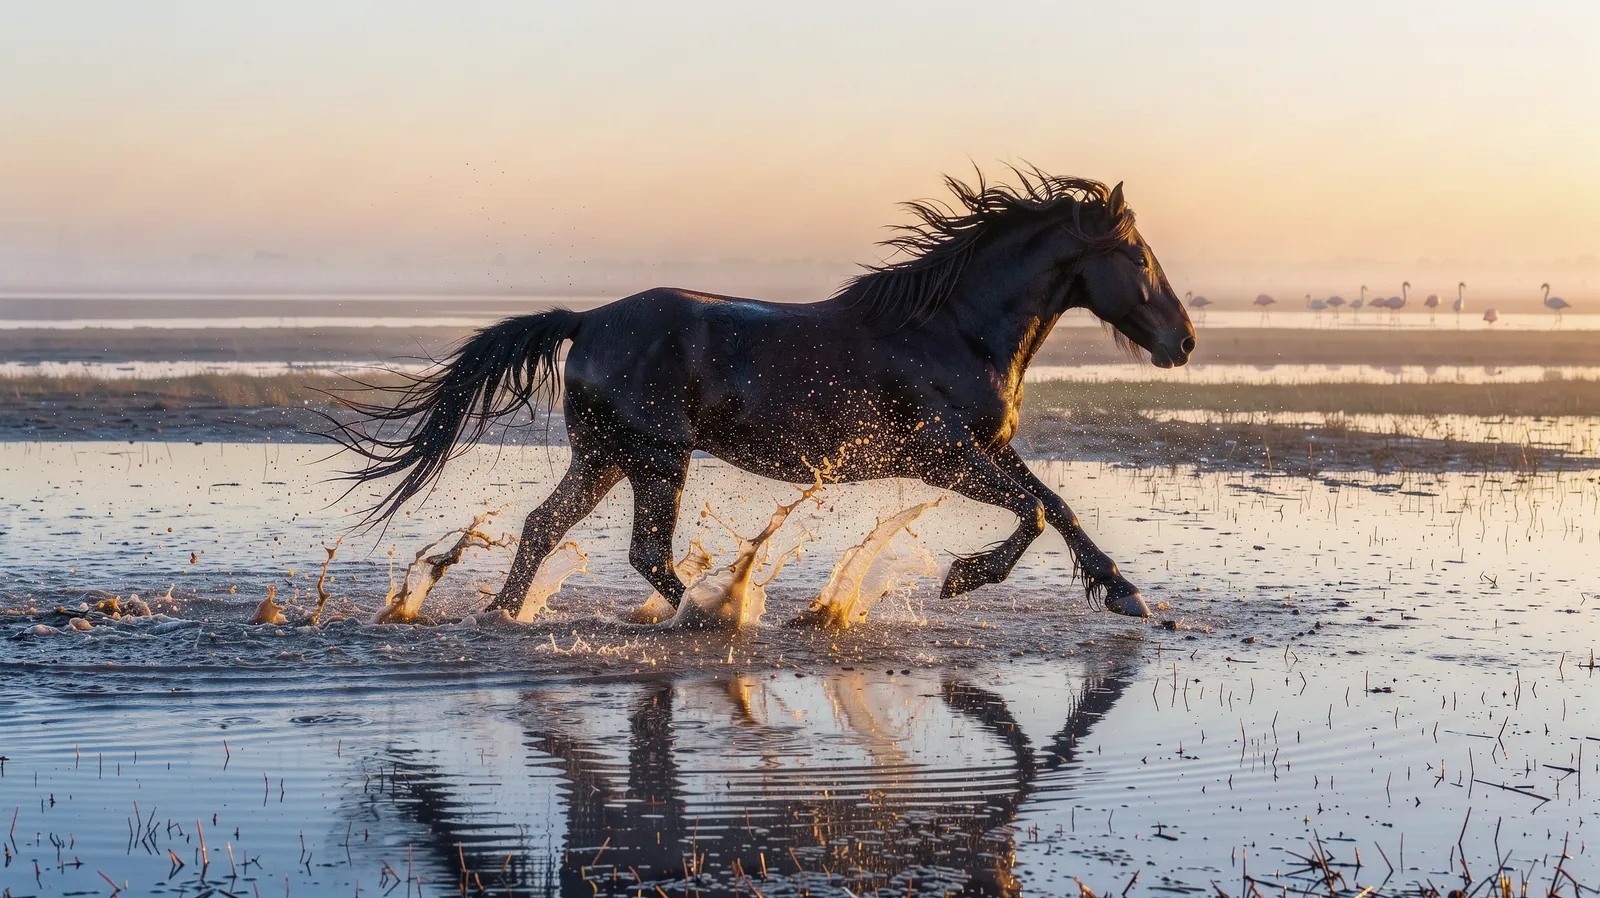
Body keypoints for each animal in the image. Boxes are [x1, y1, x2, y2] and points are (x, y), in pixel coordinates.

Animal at [333, 169, 1195, 620]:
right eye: (1140, 259)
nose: (1183, 341)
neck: (953, 327)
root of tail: (587, 321)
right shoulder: (941, 455)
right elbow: (1037, 513)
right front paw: (961, 577)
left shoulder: (987, 448)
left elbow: (1059, 506)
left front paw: (1127, 595)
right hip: (656, 458)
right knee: (646, 552)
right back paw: (722, 614)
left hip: (606, 457)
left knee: (545, 525)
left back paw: (503, 614)